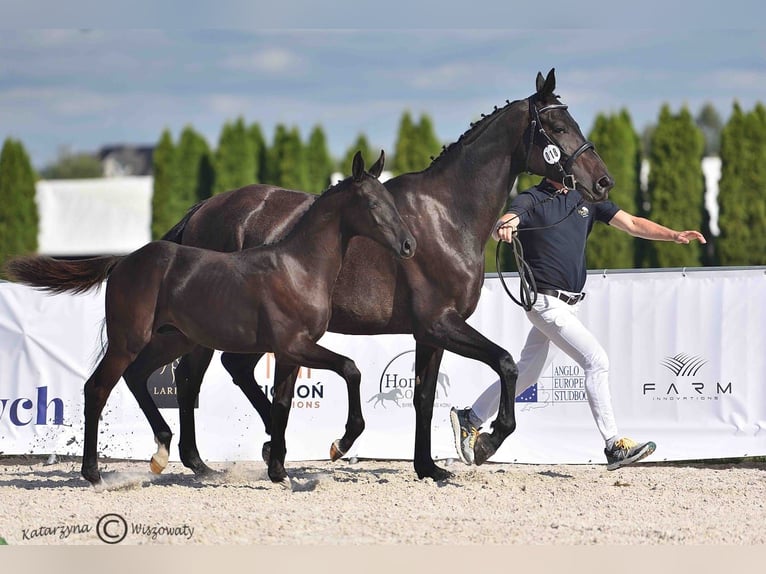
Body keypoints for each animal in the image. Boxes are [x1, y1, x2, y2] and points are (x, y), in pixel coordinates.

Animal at [5, 151, 416, 487]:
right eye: (372, 202)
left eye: (390, 201)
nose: (409, 245)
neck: (299, 267)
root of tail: (124, 260)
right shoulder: (297, 345)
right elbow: (350, 369)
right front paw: (338, 444)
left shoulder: (288, 353)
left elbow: (282, 405)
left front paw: (279, 471)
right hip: (130, 339)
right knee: (98, 387)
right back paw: (94, 474)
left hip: (174, 338)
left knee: (139, 376)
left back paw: (163, 453)